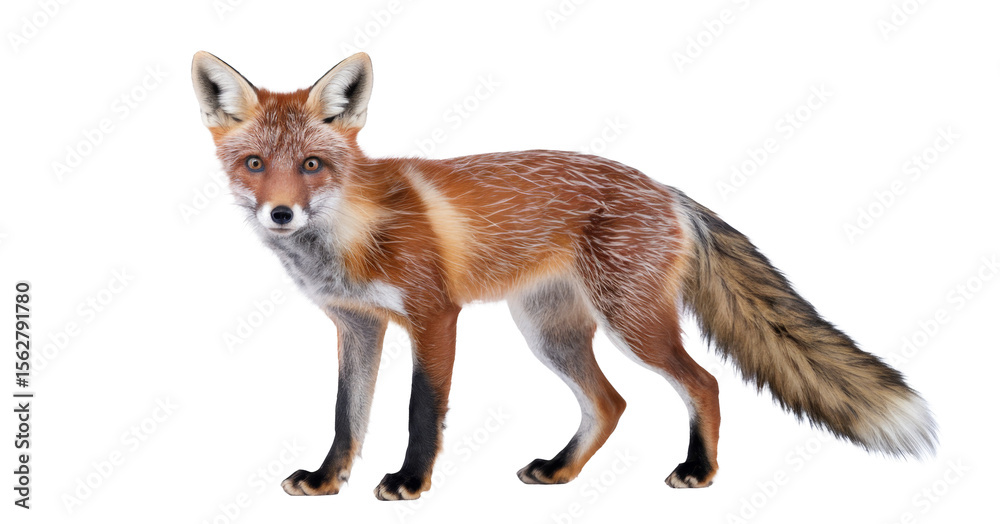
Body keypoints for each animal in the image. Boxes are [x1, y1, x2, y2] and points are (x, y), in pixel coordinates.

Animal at [190, 51, 937, 501]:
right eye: (255, 164)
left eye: (312, 165)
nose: (281, 213)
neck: (351, 232)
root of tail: (665, 189)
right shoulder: (357, 326)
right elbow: (348, 415)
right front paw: (327, 480)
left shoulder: (434, 316)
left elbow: (420, 411)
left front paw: (409, 481)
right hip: (551, 333)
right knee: (610, 403)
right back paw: (561, 470)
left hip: (631, 324)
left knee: (704, 382)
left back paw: (699, 469)